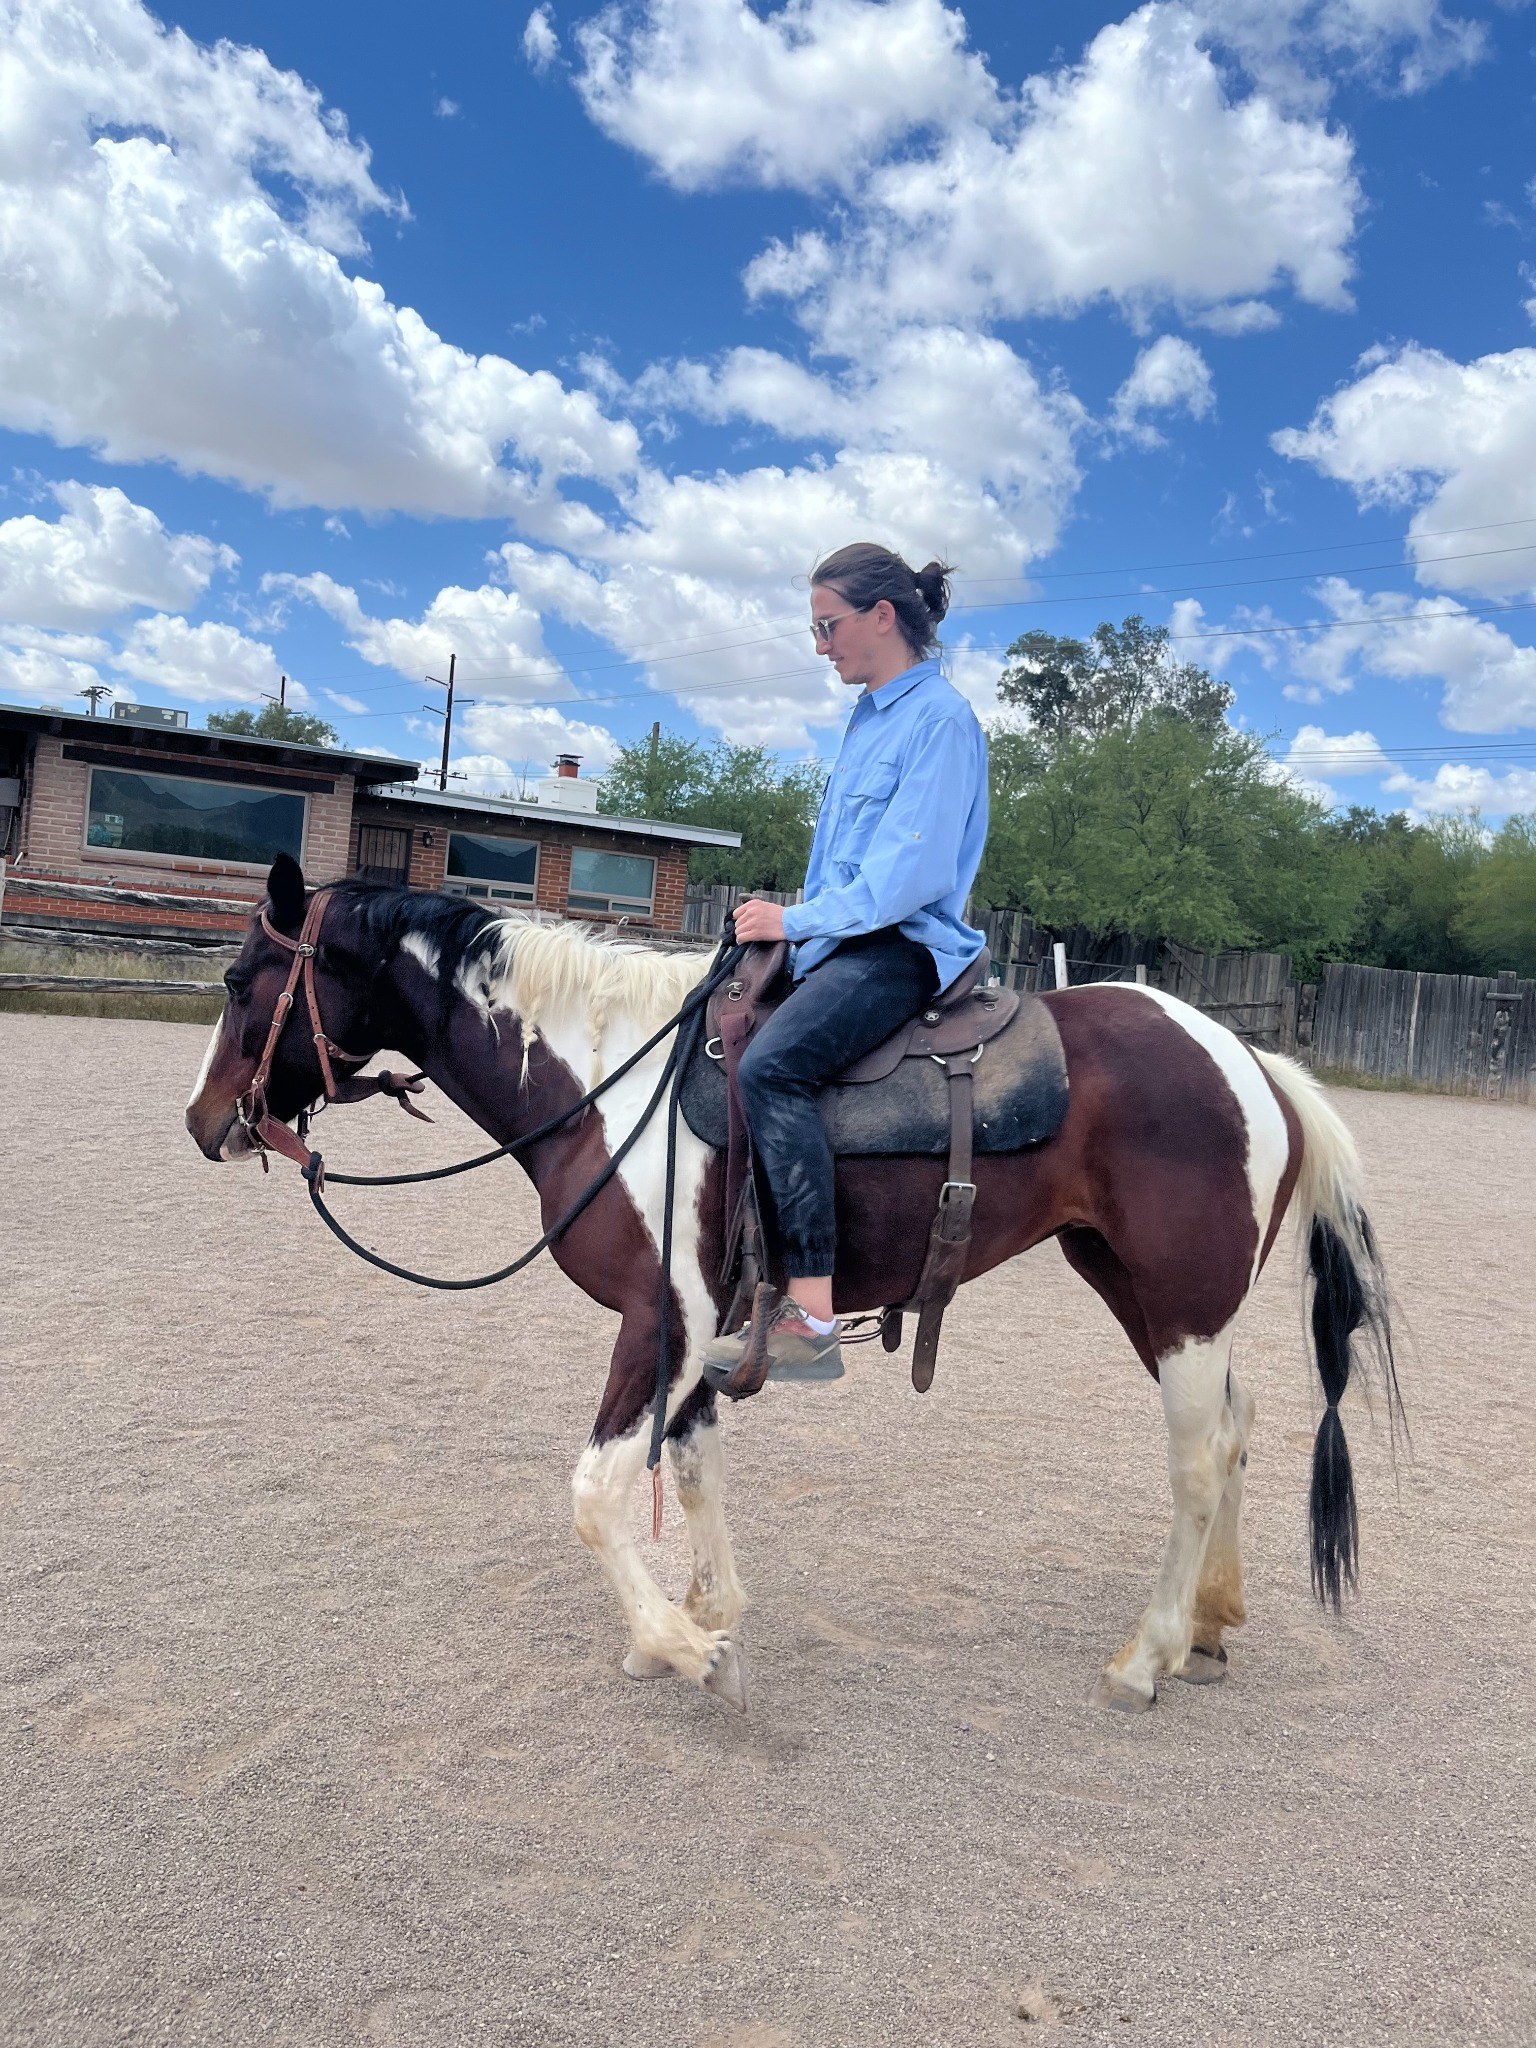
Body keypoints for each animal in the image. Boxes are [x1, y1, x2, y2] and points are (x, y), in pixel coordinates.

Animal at [185, 854, 1400, 1715]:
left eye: (245, 981)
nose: (203, 1122)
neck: (604, 1086)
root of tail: (1254, 1063)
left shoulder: (660, 1320)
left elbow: (595, 1492)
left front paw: (689, 1649)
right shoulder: (704, 1331)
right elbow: (692, 1465)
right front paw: (699, 1616)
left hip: (1179, 1298)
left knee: (1197, 1456)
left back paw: (1146, 1655)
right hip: (1142, 1290)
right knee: (1238, 1426)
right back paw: (1209, 1622)